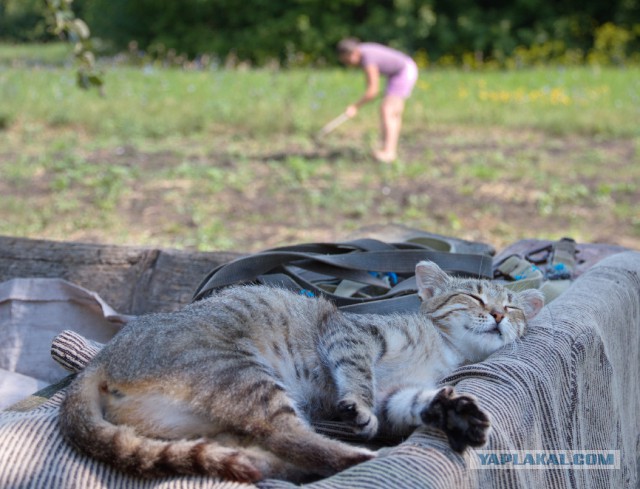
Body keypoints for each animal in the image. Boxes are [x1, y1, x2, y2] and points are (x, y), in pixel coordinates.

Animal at [60, 260, 544, 480]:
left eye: (513, 307)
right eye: (475, 297)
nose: (498, 315)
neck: (443, 349)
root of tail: (100, 359)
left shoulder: (399, 395)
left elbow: (415, 402)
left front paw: (454, 412)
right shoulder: (353, 334)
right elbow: (359, 375)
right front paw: (359, 406)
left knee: (272, 449)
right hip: (243, 374)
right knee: (289, 435)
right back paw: (361, 457)